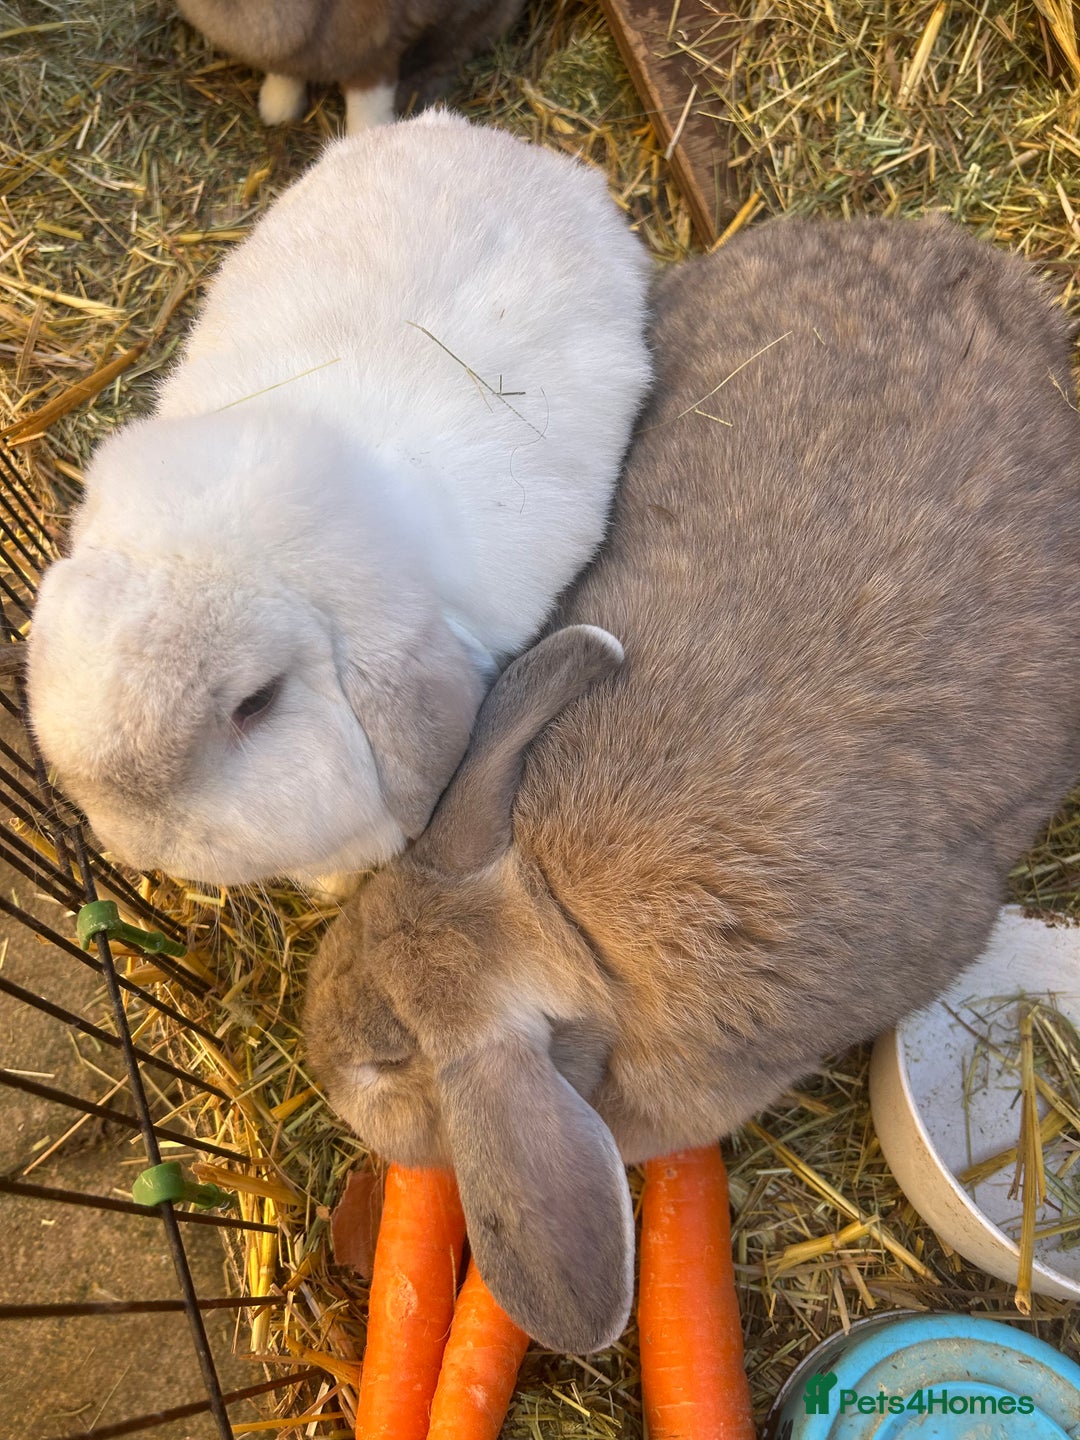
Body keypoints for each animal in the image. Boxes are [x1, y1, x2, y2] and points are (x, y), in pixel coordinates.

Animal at [175, 0, 527, 133]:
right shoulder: (287, 52)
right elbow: (286, 72)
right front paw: (277, 110)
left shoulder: (377, 52)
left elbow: (366, 110)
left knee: (455, 48)